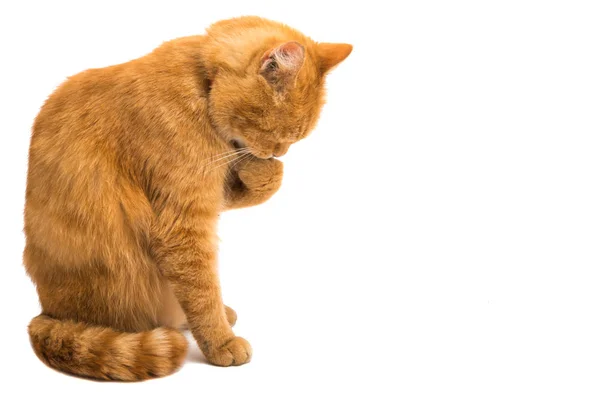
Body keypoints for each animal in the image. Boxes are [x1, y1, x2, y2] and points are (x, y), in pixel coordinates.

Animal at [24, 17, 352, 382]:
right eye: (279, 134)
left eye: (296, 137)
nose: (279, 152)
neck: (201, 82)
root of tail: (48, 313)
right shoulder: (183, 222)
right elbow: (201, 291)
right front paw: (221, 341)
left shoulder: (213, 193)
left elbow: (263, 185)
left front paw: (261, 170)